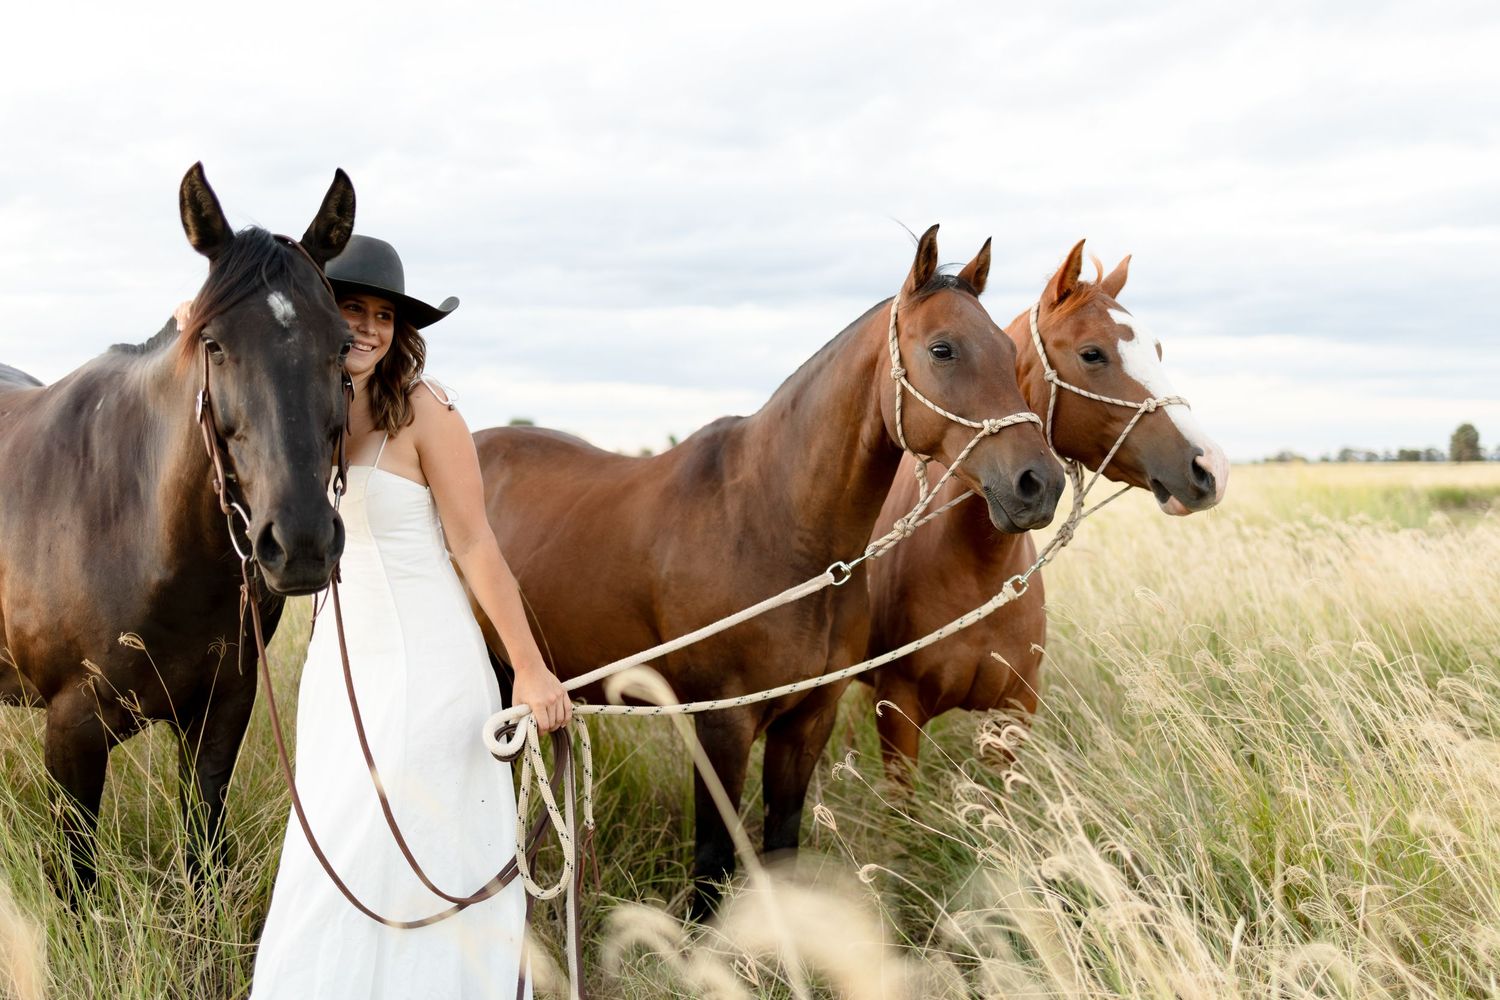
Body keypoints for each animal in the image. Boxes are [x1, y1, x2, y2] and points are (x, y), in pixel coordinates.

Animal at [0, 163, 356, 889]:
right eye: (214, 345)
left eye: (341, 345)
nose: (301, 543)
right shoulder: (72, 731)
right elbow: (76, 879)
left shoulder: (219, 717)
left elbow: (203, 858)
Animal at [473, 226, 1065, 916]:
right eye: (943, 349)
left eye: (1009, 349)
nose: (1038, 484)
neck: (774, 527)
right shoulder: (721, 725)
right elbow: (713, 861)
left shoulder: (808, 721)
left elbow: (782, 844)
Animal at [864, 240, 1229, 777]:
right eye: (1092, 354)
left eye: (1158, 350)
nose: (1211, 467)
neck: (975, 568)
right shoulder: (897, 713)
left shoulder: (1015, 708)